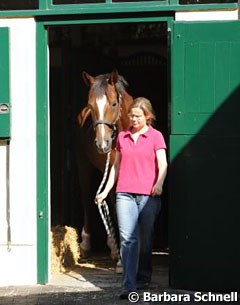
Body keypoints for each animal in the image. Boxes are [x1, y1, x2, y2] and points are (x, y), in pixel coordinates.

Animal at [76, 70, 133, 260]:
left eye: (114, 103)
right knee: (88, 197)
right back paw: (87, 244)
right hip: (84, 165)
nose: (102, 144)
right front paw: (121, 258)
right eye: (90, 104)